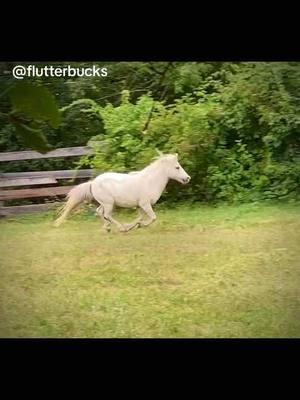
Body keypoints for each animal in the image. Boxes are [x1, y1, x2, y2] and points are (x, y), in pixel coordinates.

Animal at [54, 154, 190, 234]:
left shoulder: (140, 206)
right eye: (177, 167)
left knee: (99, 212)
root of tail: (93, 182)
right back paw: (120, 228)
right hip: (109, 204)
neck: (150, 181)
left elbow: (140, 218)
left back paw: (107, 228)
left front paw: (135, 226)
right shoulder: (145, 204)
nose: (187, 178)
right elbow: (152, 217)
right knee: (107, 215)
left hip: (105, 203)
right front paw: (135, 226)